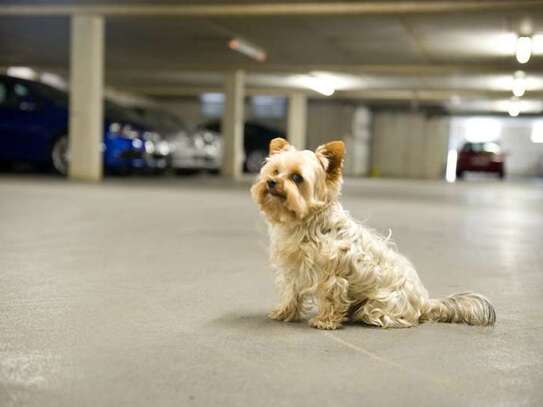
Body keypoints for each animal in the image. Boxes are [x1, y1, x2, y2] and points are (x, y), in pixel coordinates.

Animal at [252, 139, 498, 330]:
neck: (307, 223)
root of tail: (424, 303)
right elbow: (291, 293)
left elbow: (331, 297)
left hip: (377, 306)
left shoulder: (332, 276)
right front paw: (284, 312)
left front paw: (325, 321)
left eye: (296, 178)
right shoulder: (293, 270)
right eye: (275, 172)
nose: (271, 182)